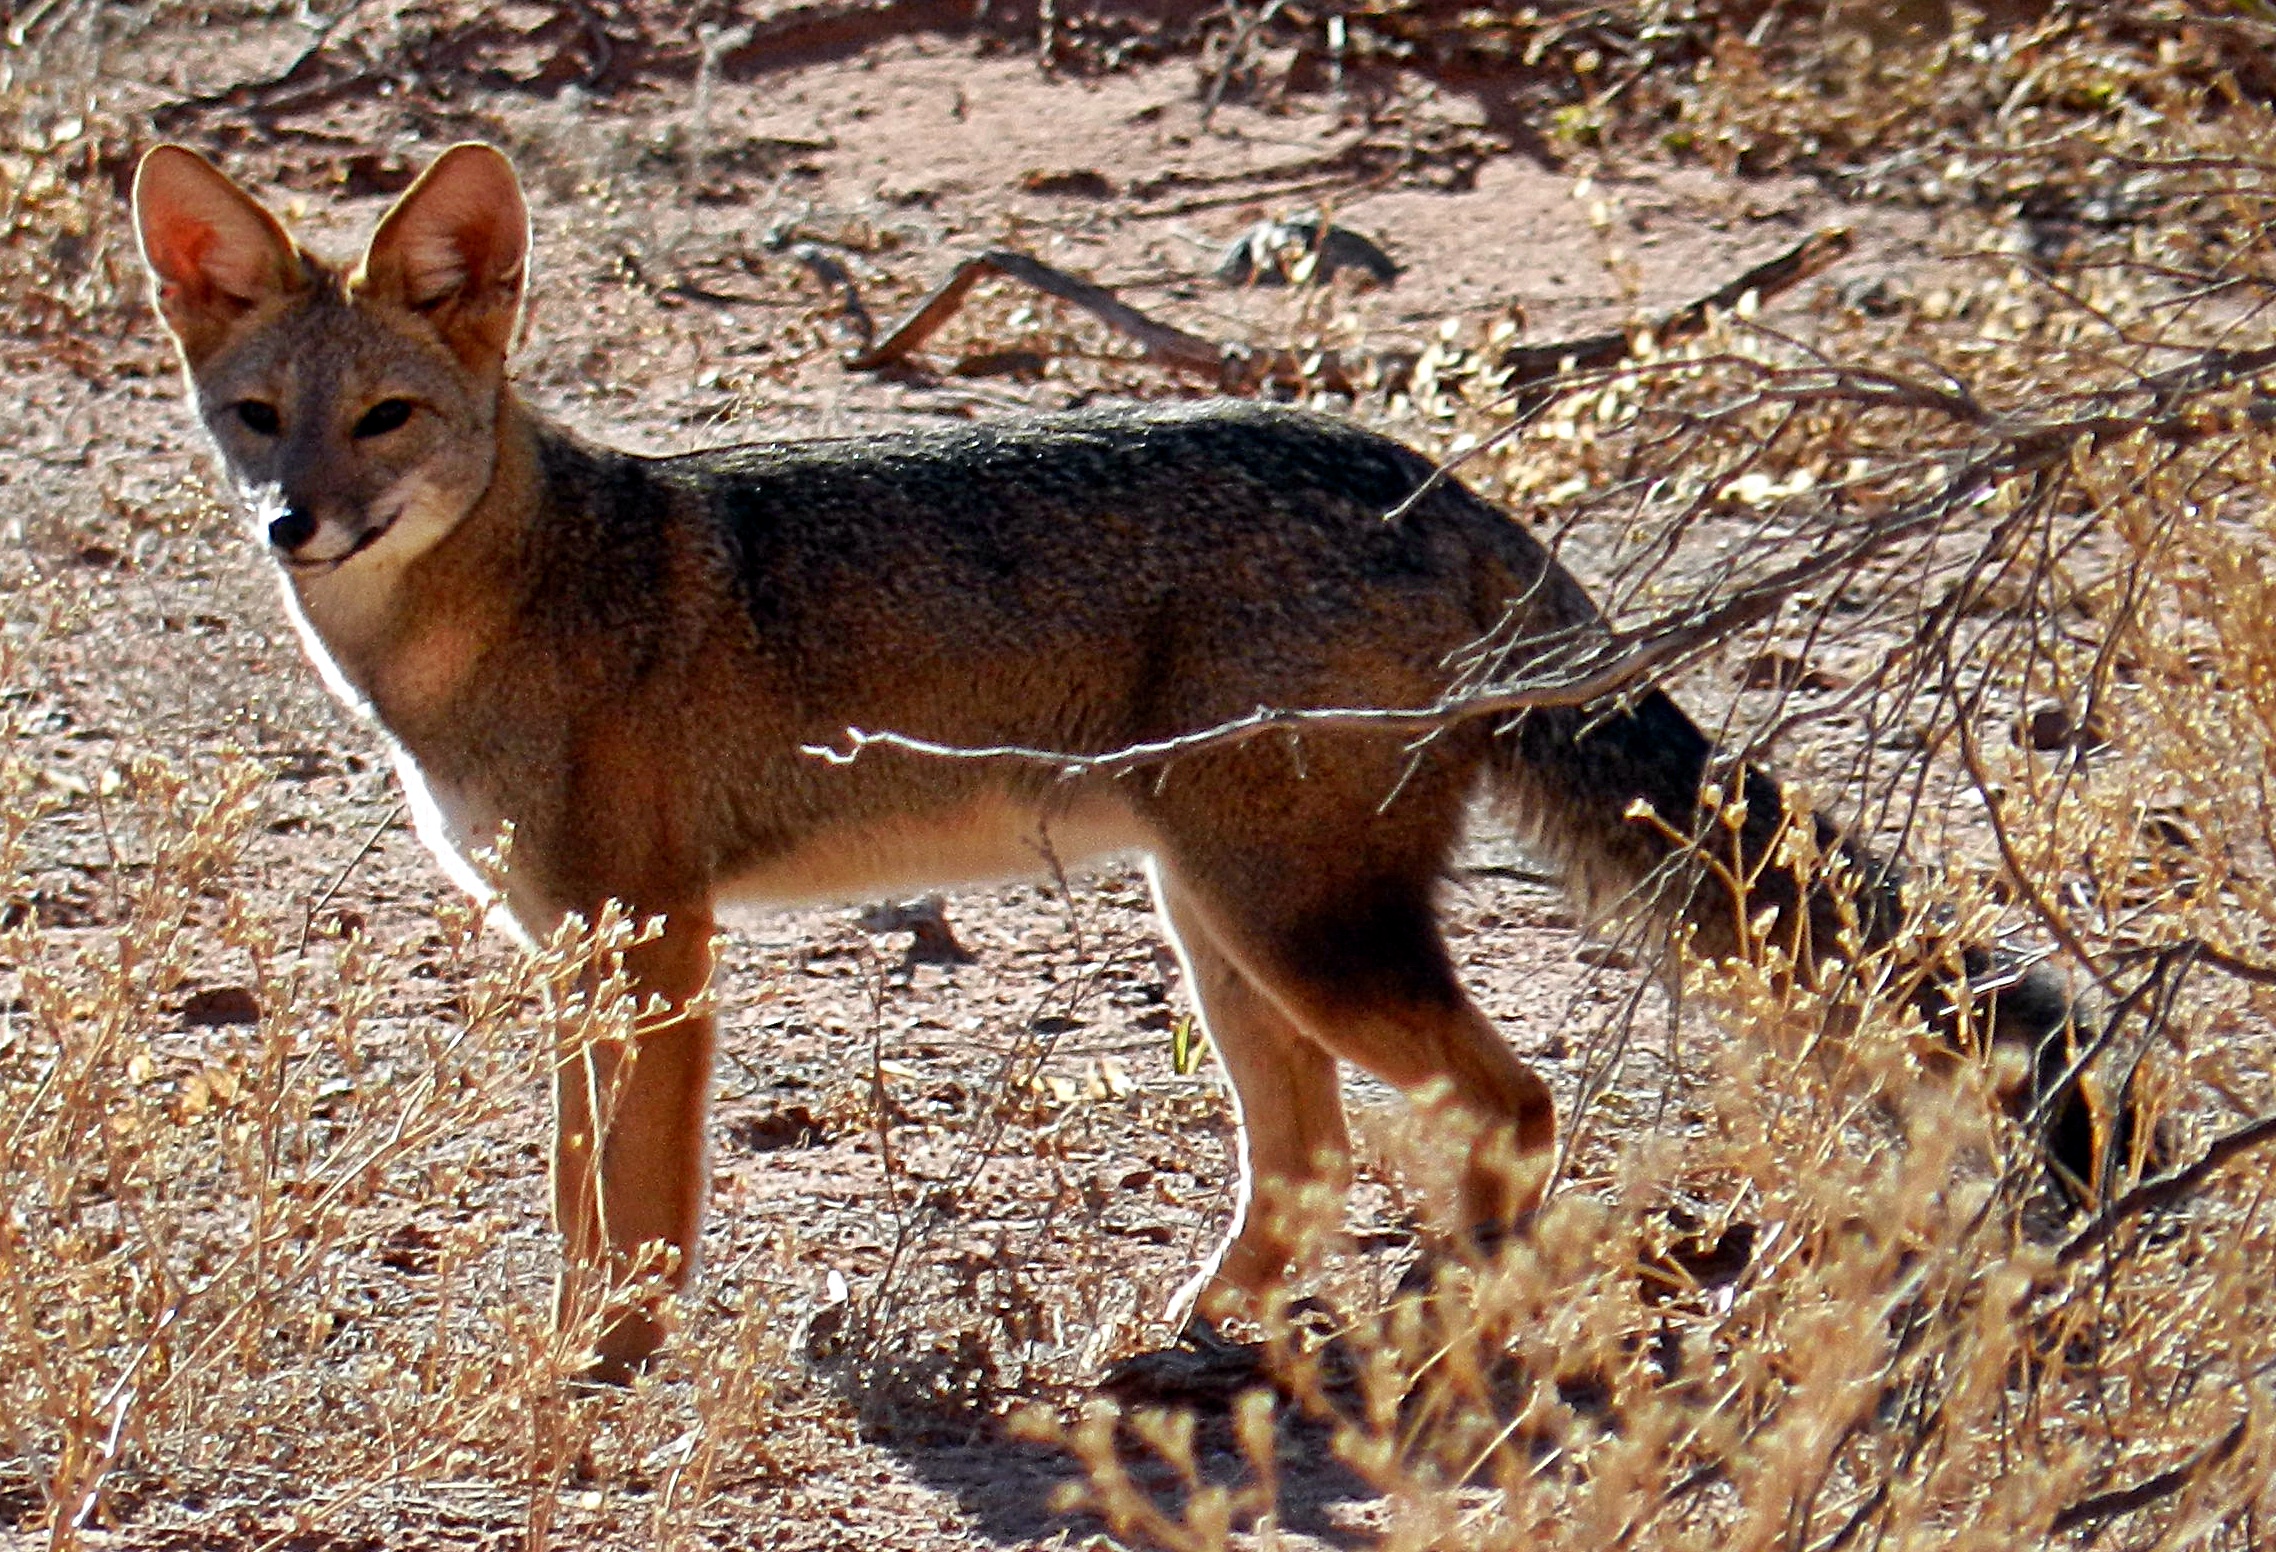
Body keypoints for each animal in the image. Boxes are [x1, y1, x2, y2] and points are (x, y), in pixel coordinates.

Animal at [132, 140, 2104, 1379]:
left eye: (390, 417)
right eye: (258, 416)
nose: (296, 521)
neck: (511, 607)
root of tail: (1427, 471)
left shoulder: (664, 942)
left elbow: (651, 1203)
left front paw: (610, 1362)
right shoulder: (574, 952)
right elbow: (572, 1191)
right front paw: (570, 1333)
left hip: (1293, 923)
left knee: (1515, 1105)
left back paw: (1440, 1339)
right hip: (1220, 923)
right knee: (1309, 1155)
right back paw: (1194, 1333)